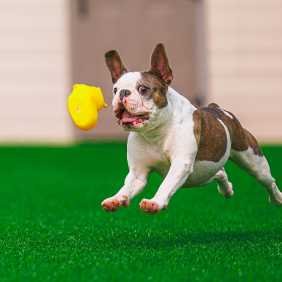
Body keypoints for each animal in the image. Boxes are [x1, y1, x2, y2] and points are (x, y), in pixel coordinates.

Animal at [101, 42, 282, 214]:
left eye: (143, 89)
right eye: (115, 90)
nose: (123, 93)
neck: (156, 130)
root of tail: (217, 107)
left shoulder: (181, 163)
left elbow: (166, 184)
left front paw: (155, 202)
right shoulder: (138, 173)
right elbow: (127, 187)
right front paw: (115, 199)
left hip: (251, 159)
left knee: (267, 180)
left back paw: (277, 198)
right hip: (200, 174)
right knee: (219, 172)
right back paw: (227, 190)